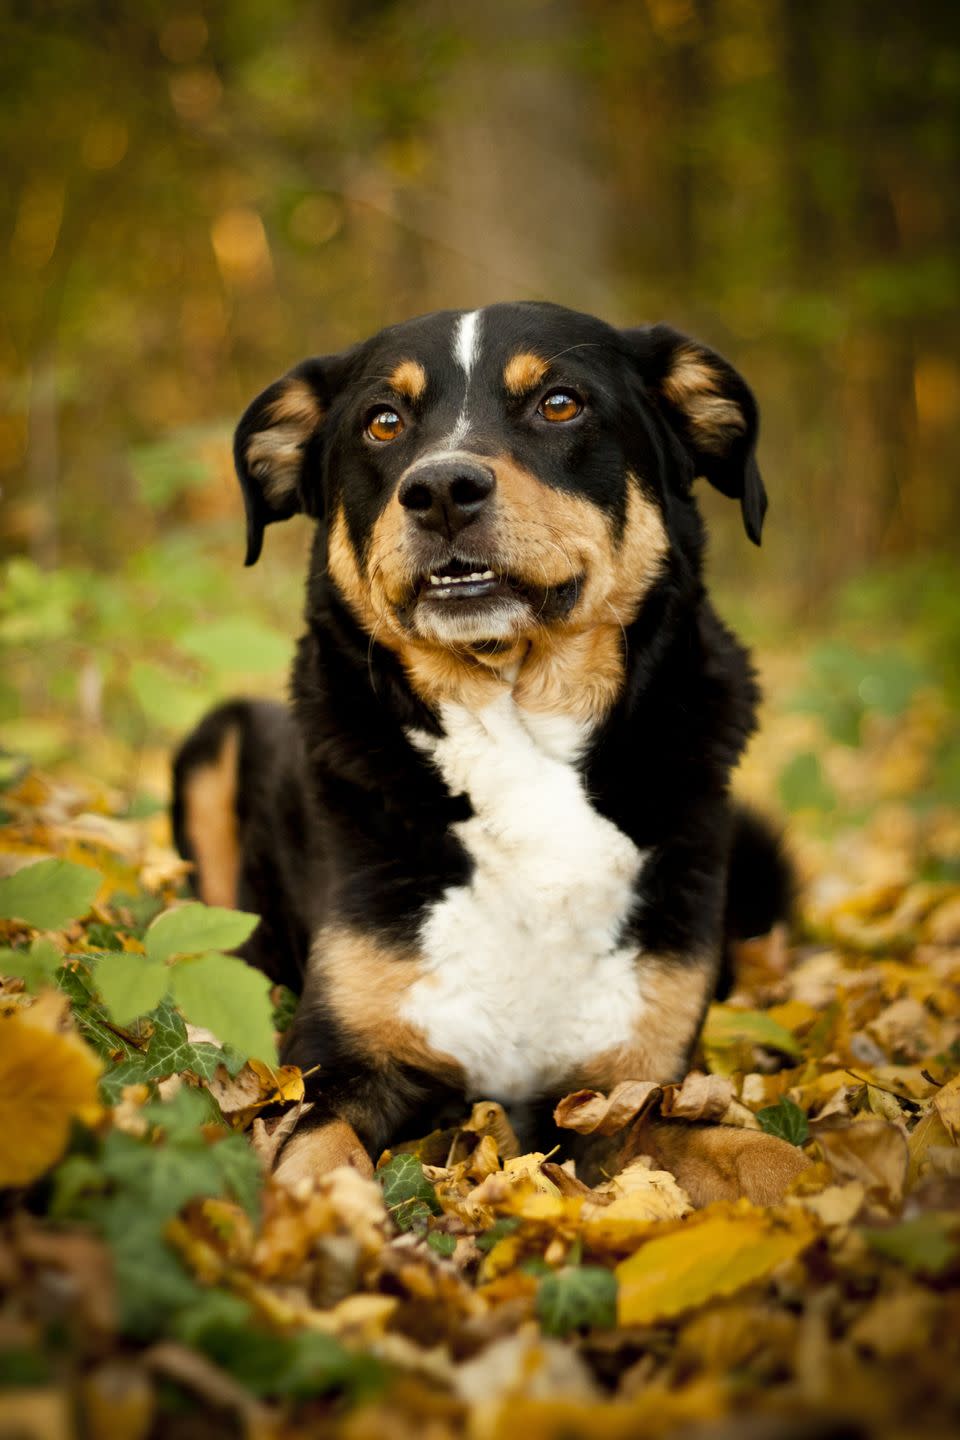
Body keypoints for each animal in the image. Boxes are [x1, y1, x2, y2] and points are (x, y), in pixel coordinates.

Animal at [170, 300, 788, 1180]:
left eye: (560, 404)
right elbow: (323, 1163)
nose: (440, 491)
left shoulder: (628, 1089)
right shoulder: (337, 1064)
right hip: (216, 742)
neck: (517, 726)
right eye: (383, 422)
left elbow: (760, 1154)